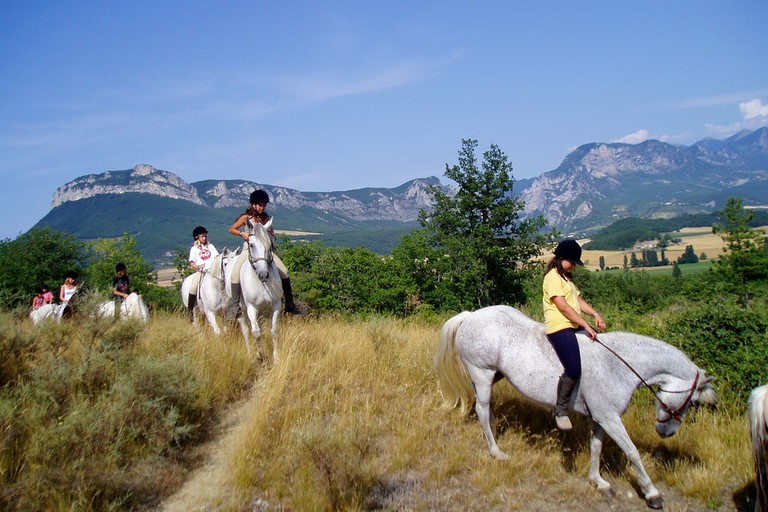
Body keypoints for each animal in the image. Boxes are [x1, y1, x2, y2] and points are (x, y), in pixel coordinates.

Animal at [436, 304, 716, 508]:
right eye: (691, 402)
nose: (666, 432)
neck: (617, 365)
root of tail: (470, 316)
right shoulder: (611, 418)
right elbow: (632, 452)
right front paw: (652, 493)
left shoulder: (601, 417)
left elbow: (596, 446)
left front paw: (598, 482)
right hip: (482, 373)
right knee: (482, 410)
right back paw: (496, 452)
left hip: (493, 376)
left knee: (485, 408)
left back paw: (493, 433)